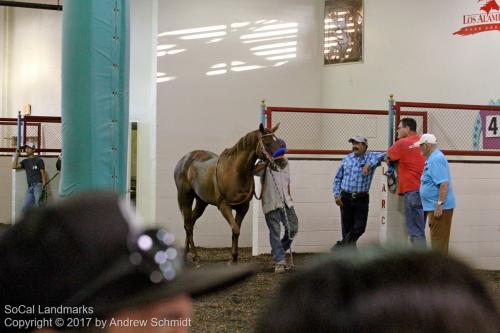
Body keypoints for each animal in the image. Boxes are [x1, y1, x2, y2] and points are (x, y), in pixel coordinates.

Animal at [175, 122, 282, 262]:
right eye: (268, 142)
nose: (282, 162)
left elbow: (235, 231)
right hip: (185, 197)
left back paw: (186, 253)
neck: (235, 172)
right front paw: (233, 258)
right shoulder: (224, 206)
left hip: (201, 202)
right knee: (187, 224)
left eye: (278, 141)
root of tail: (183, 160)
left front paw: (234, 256)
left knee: (190, 223)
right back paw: (195, 256)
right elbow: (235, 229)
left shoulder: (243, 207)